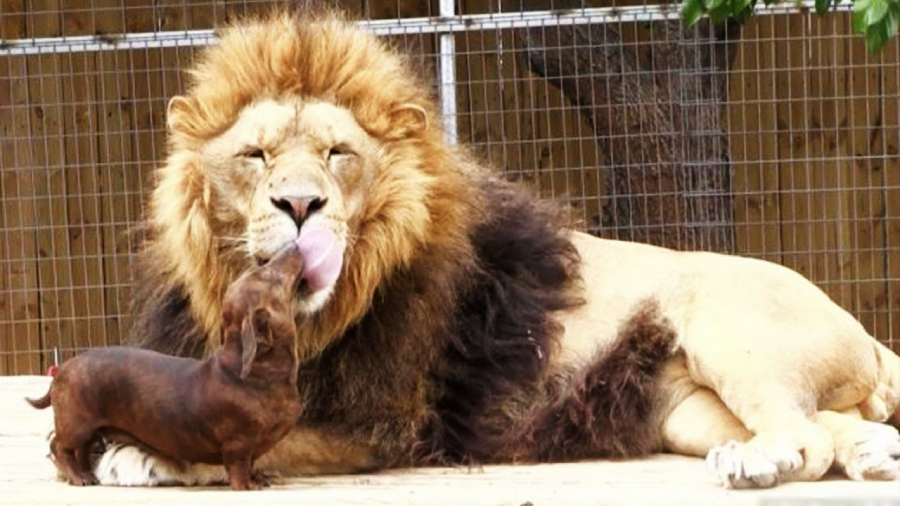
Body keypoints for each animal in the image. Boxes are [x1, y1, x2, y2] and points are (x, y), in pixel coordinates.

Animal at [87, 8, 900, 489]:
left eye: (337, 154)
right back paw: (868, 455)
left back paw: (768, 461)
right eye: (254, 156)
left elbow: (251, 439)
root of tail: (856, 324)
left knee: (805, 438)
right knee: (834, 425)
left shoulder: (386, 424)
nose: (298, 205)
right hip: (686, 410)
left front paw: (147, 453)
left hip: (734, 337)